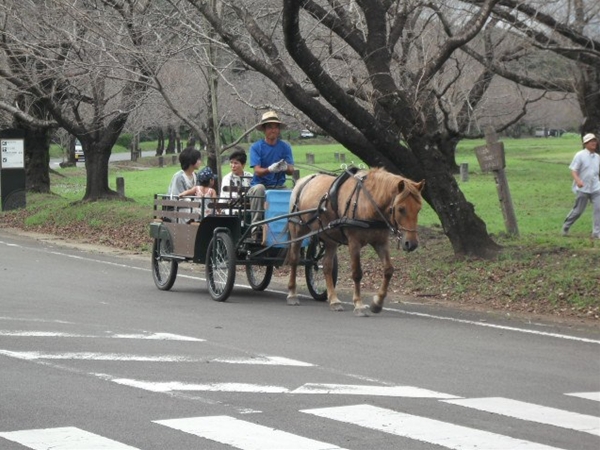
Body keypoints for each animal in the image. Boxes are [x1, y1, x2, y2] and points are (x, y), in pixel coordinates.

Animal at [288, 166, 424, 316]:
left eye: (419, 209)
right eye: (401, 209)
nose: (411, 243)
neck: (368, 203)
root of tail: (303, 181)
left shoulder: (380, 242)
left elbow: (388, 270)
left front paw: (377, 302)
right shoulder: (354, 243)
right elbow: (357, 273)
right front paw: (359, 304)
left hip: (330, 239)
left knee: (327, 266)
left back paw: (334, 300)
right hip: (297, 230)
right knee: (294, 259)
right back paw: (292, 293)